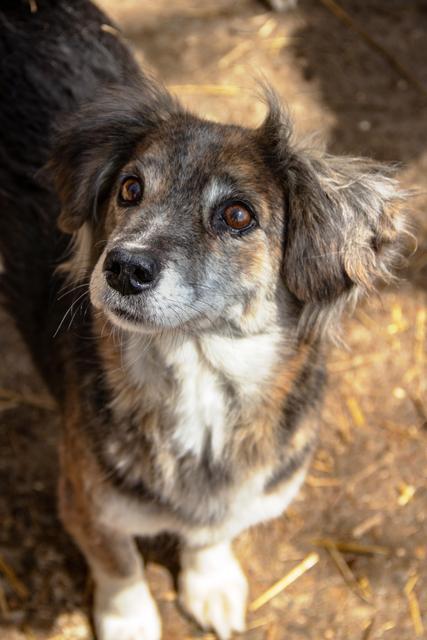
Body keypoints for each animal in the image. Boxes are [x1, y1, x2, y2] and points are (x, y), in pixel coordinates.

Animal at [0, 1, 408, 640]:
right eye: (130, 188)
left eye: (237, 215)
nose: (123, 268)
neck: (201, 381)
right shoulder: (83, 498)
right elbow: (118, 563)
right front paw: (129, 620)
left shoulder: (248, 494)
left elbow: (214, 533)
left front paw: (209, 580)